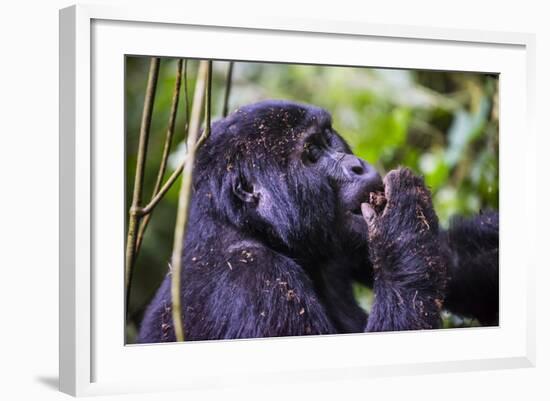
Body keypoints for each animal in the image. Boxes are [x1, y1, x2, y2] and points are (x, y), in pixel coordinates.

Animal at [138, 99, 500, 340]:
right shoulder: (254, 281)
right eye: (312, 153)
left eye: (329, 138)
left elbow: (454, 260)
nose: (357, 166)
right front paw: (404, 224)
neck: (247, 226)